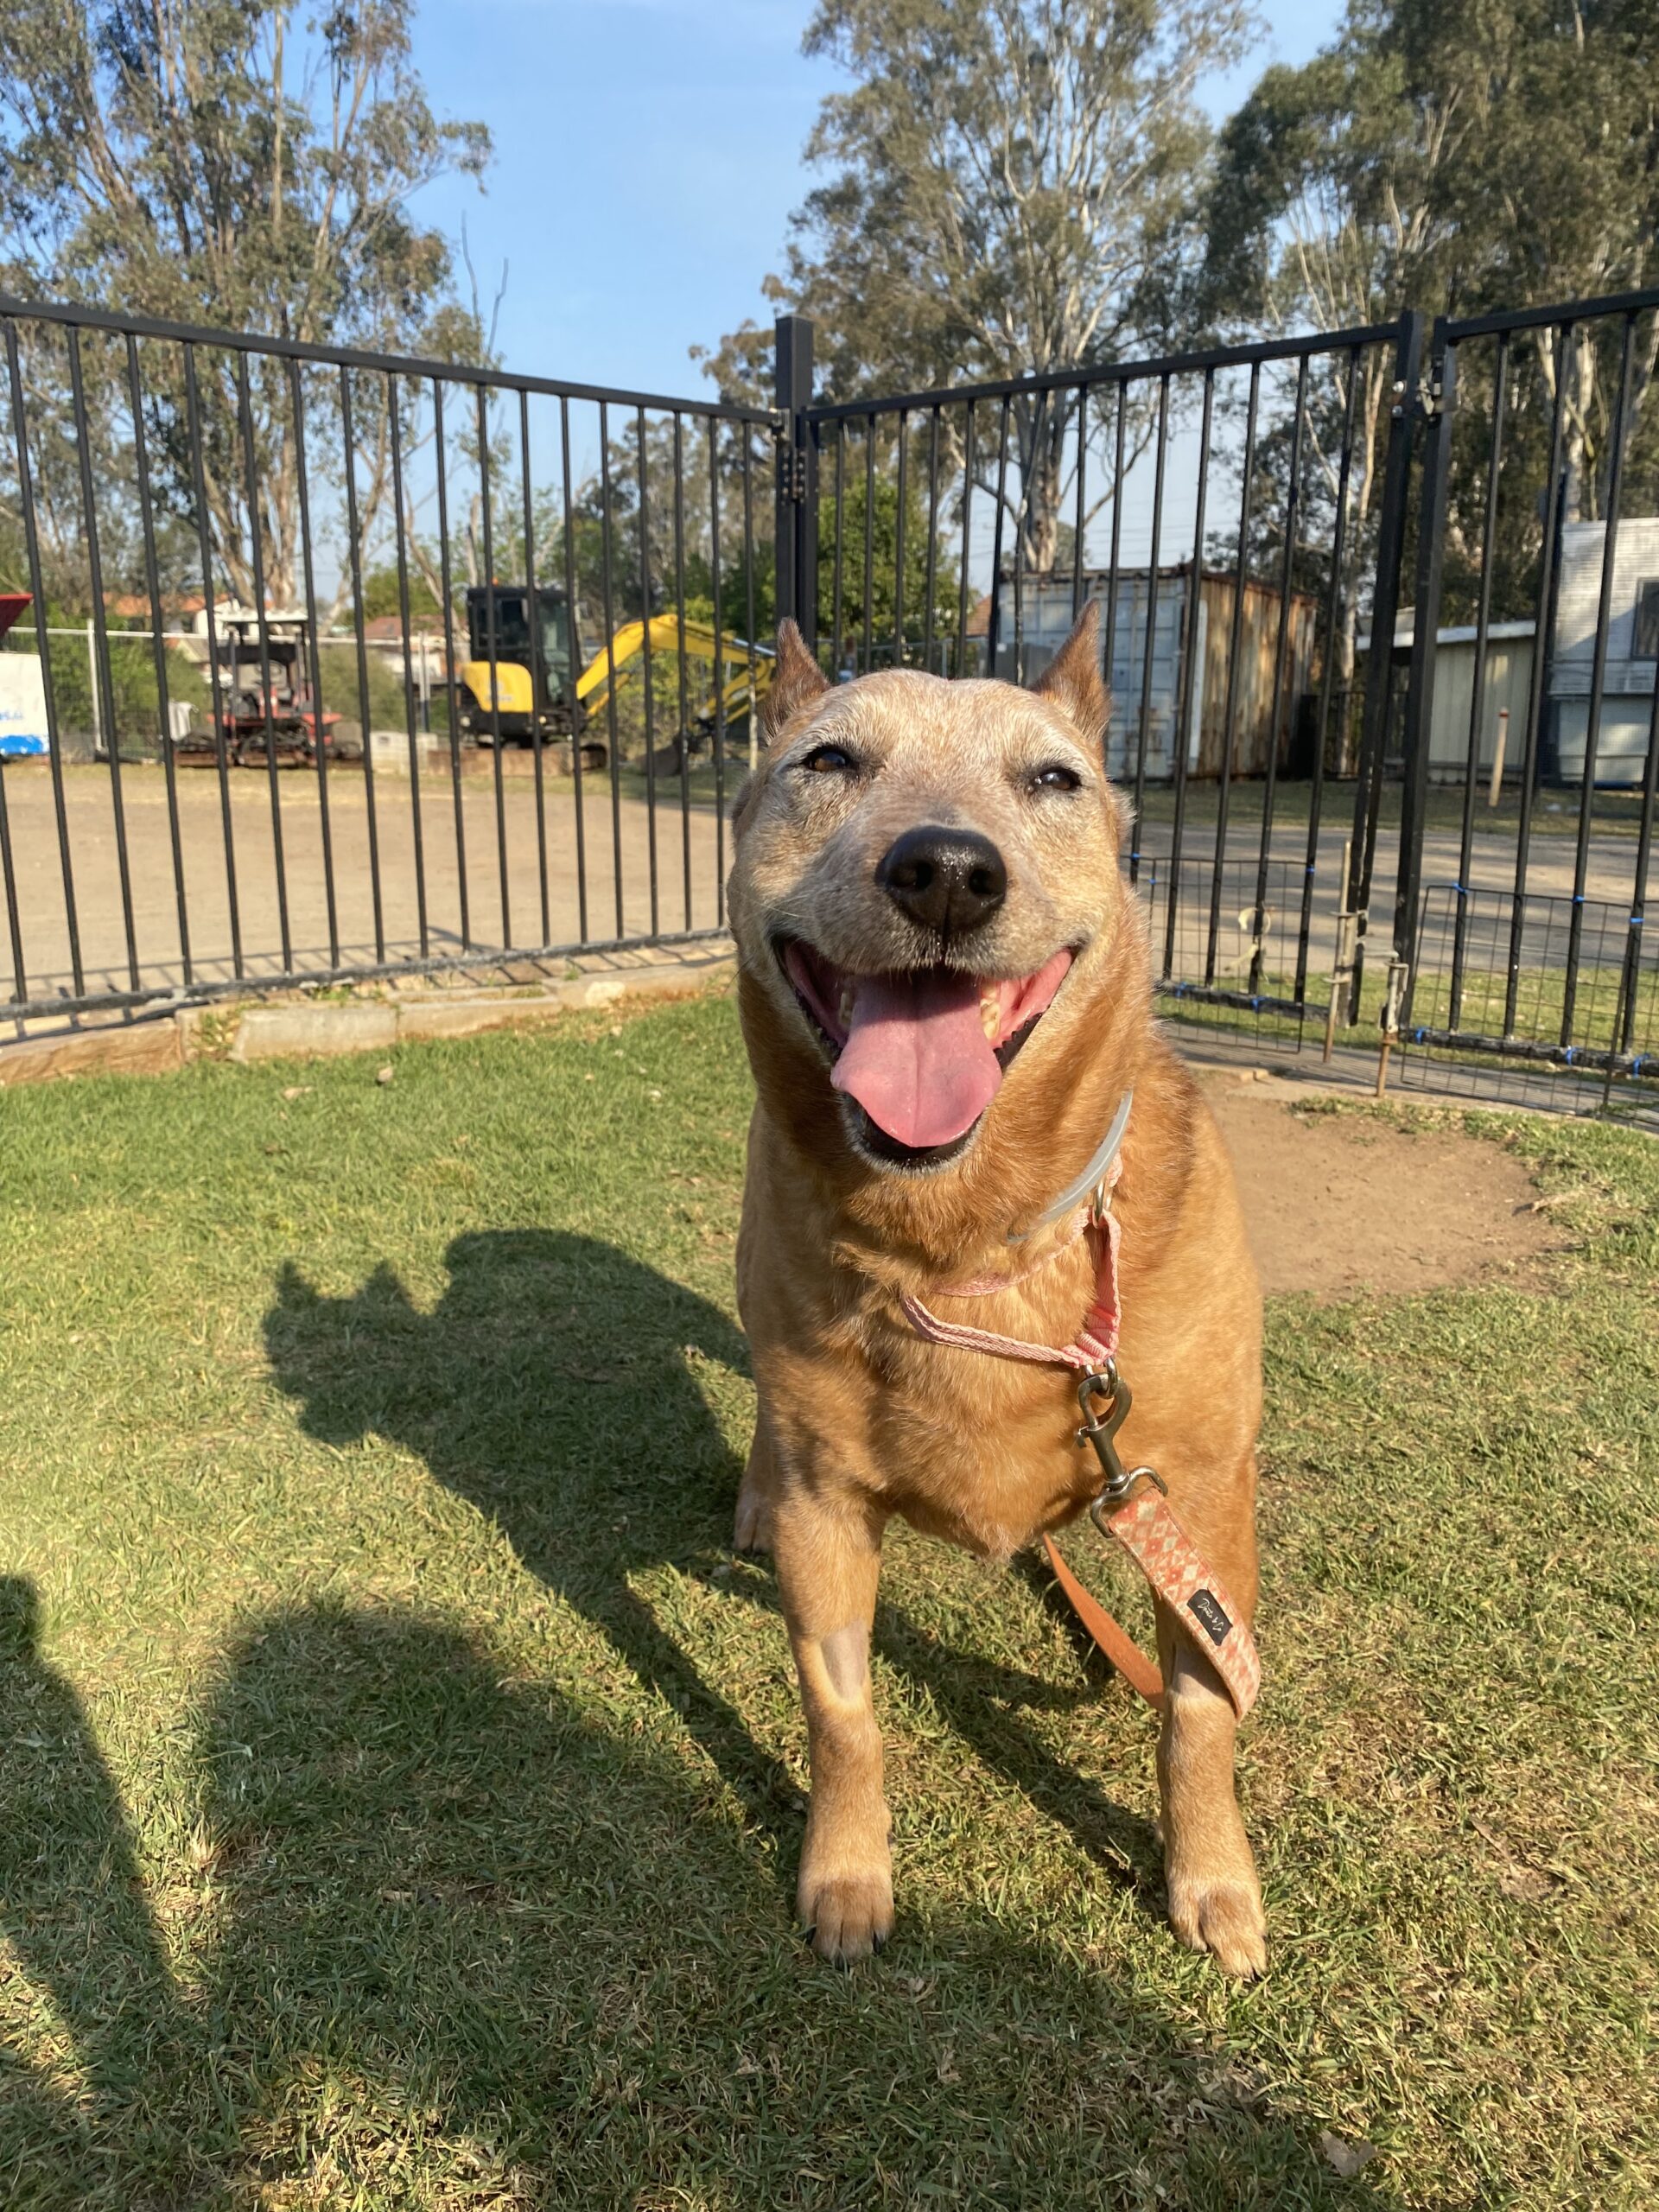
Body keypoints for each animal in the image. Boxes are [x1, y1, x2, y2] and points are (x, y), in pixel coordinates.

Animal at [726, 608, 1266, 1978]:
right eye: (828, 761)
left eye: (1054, 780)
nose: (947, 872)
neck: (964, 1246)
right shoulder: (829, 1511)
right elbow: (841, 1709)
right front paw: (847, 1872)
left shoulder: (1198, 1499)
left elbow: (1201, 1708)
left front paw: (1213, 1879)